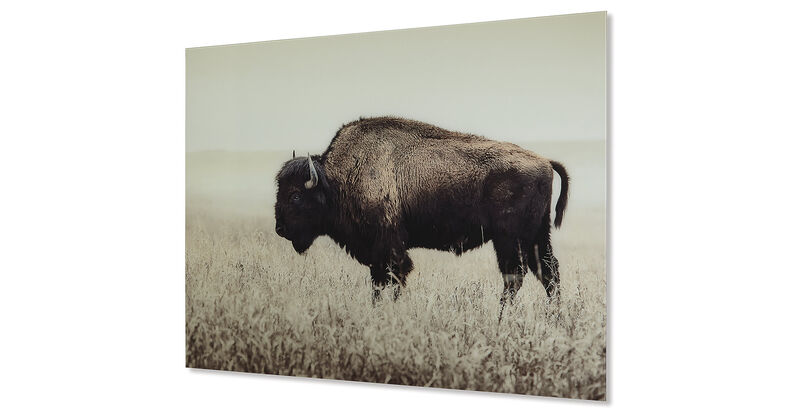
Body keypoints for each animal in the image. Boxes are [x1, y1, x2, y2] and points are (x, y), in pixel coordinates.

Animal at [274, 117, 569, 306]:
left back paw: (502, 316)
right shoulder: (377, 253)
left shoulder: (388, 247)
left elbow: (392, 279)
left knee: (515, 276)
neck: (336, 181)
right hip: (537, 236)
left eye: (296, 195)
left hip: (510, 239)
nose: (280, 229)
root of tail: (545, 161)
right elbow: (379, 282)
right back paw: (553, 317)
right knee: (547, 272)